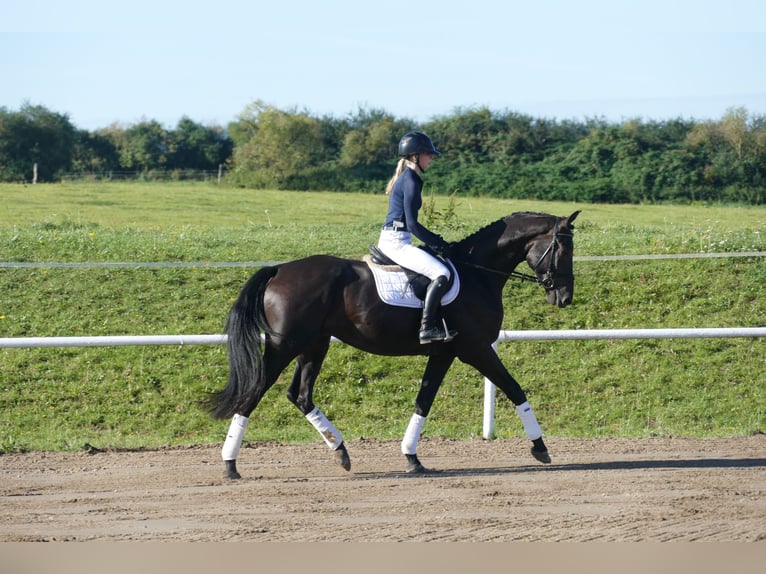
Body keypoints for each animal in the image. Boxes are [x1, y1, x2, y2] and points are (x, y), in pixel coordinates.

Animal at [208, 210, 580, 478]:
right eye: (563, 249)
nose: (564, 297)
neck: (477, 274)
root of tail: (279, 269)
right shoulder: (475, 349)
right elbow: (514, 387)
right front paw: (540, 447)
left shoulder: (445, 353)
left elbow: (423, 401)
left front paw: (412, 457)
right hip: (285, 345)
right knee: (255, 391)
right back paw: (230, 465)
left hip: (313, 345)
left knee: (300, 395)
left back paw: (341, 452)